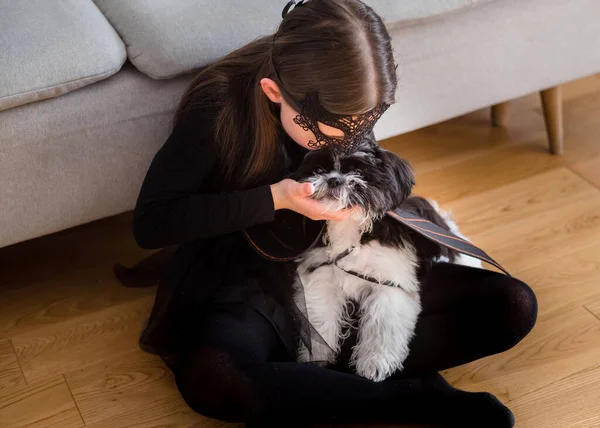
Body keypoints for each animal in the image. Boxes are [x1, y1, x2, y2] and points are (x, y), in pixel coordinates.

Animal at [288, 138, 480, 382]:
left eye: (358, 172)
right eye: (319, 169)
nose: (334, 179)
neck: (350, 227)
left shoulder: (390, 283)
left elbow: (383, 324)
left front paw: (374, 364)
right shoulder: (320, 277)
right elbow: (319, 318)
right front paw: (317, 356)